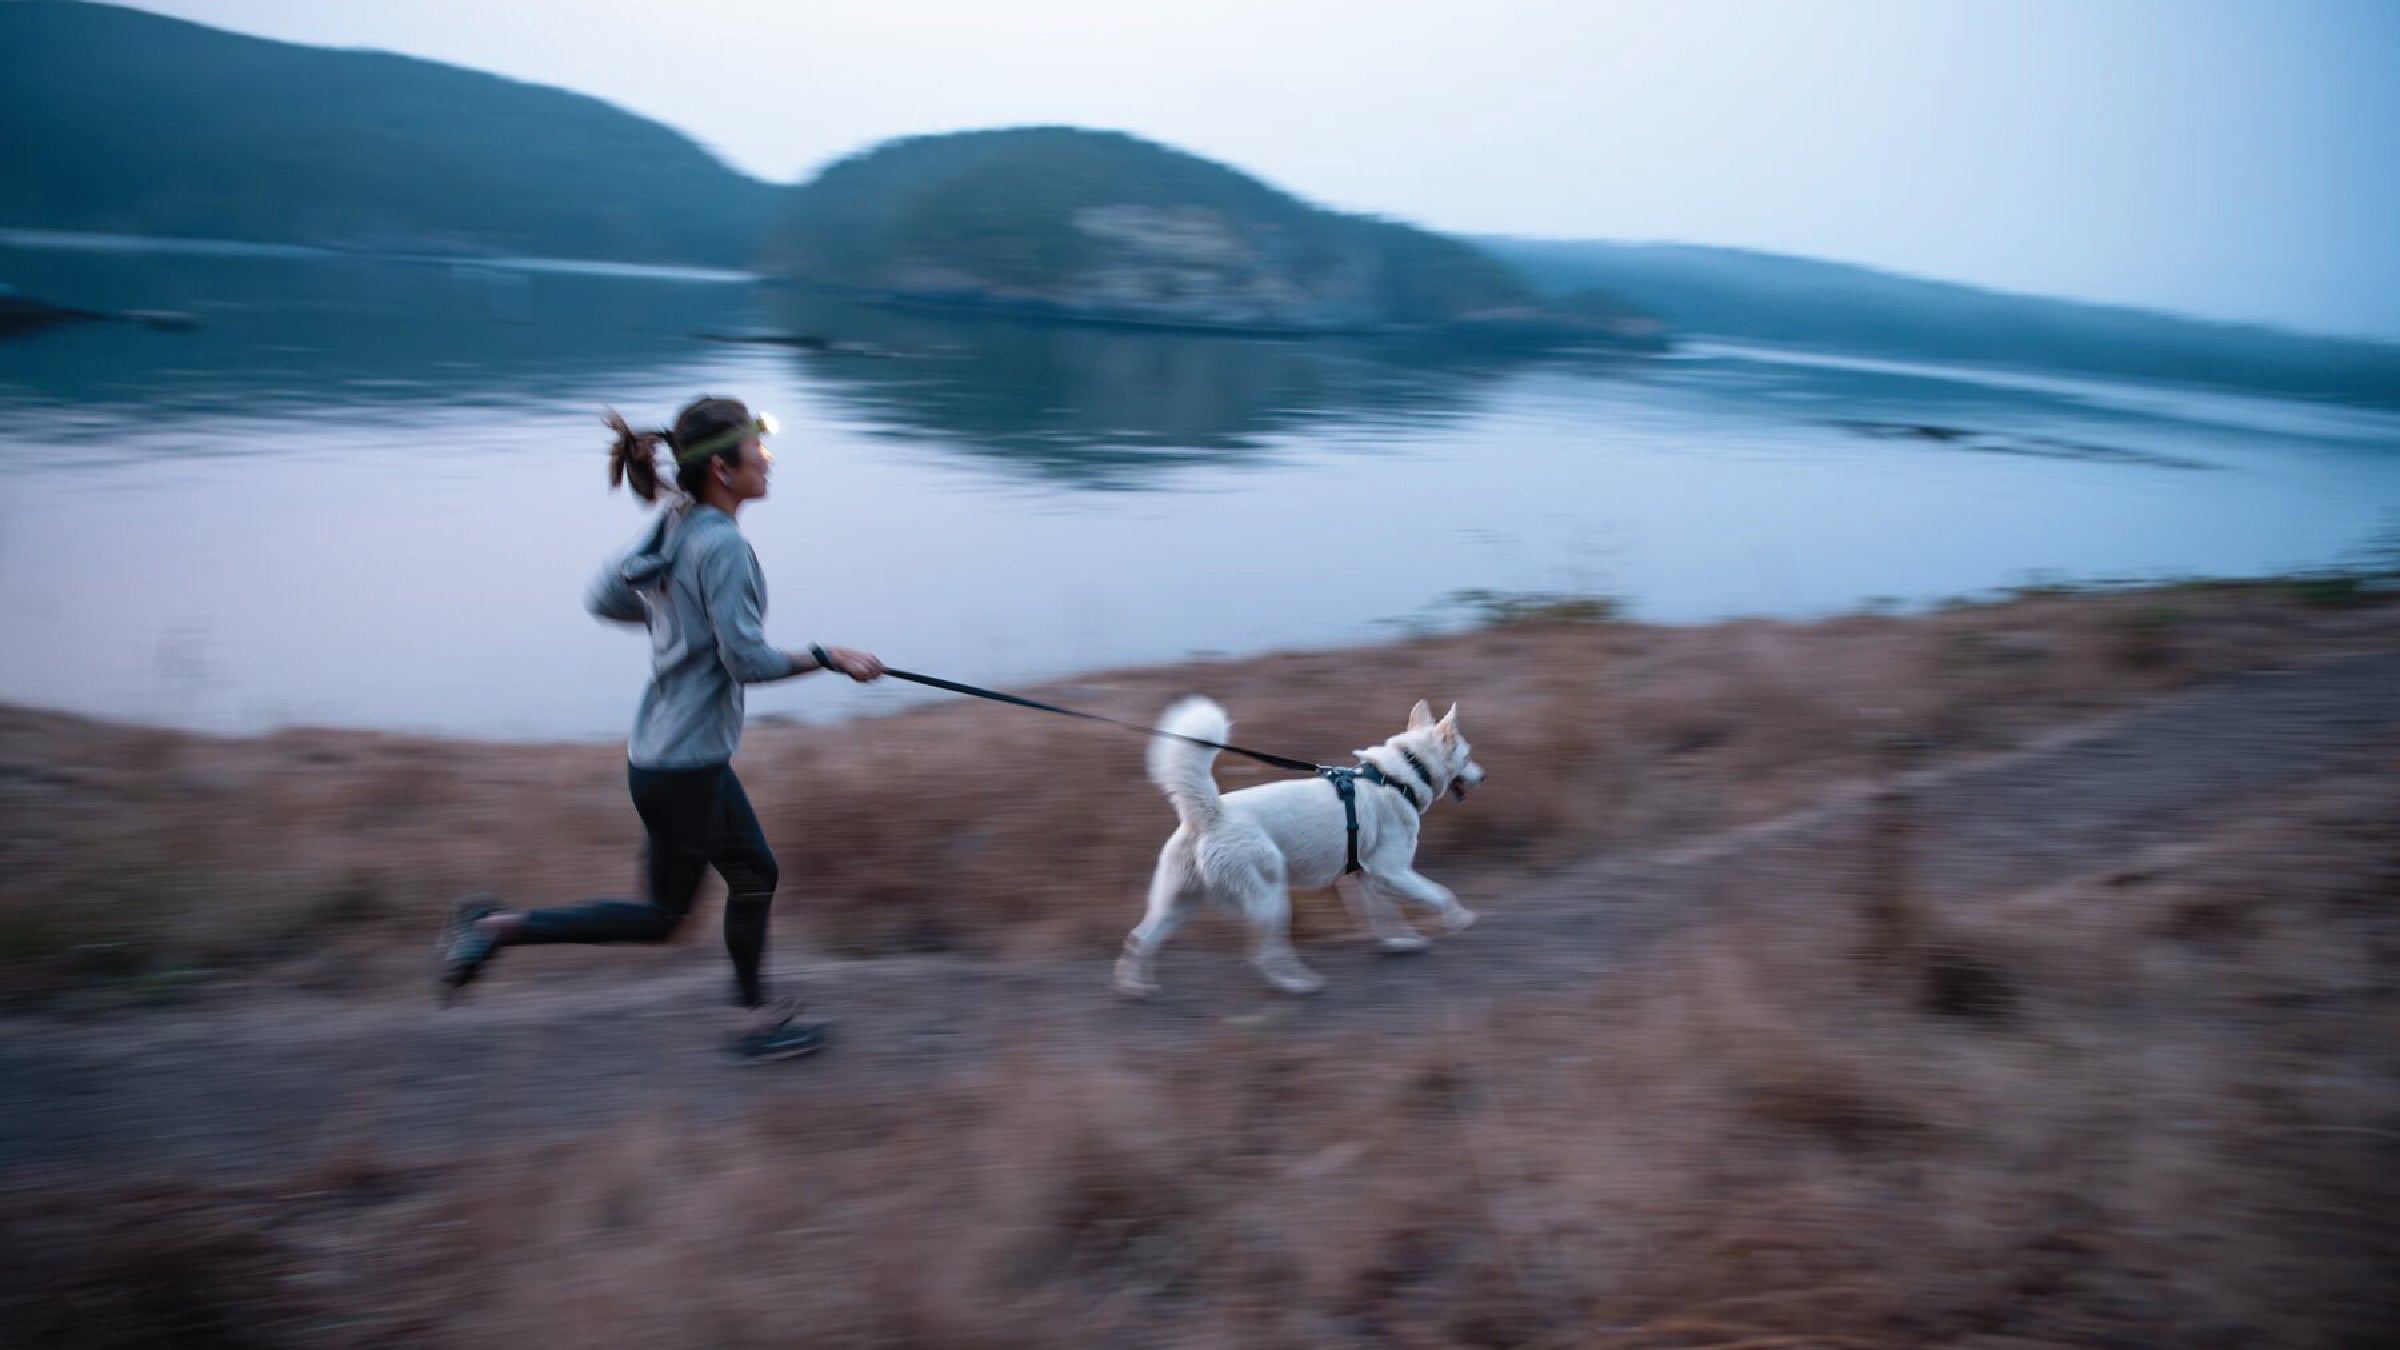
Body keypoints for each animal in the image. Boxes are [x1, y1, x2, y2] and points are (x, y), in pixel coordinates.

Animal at [1118, 691, 1478, 999]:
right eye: (1468, 756)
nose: (1484, 775)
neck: (1398, 777)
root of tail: (1210, 815)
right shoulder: (1392, 872)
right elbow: (1440, 894)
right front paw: (1460, 919)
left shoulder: (1364, 878)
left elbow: (1383, 913)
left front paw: (1400, 941)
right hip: (1271, 898)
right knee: (1263, 954)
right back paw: (1299, 983)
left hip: (1179, 903)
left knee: (1140, 939)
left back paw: (1136, 987)